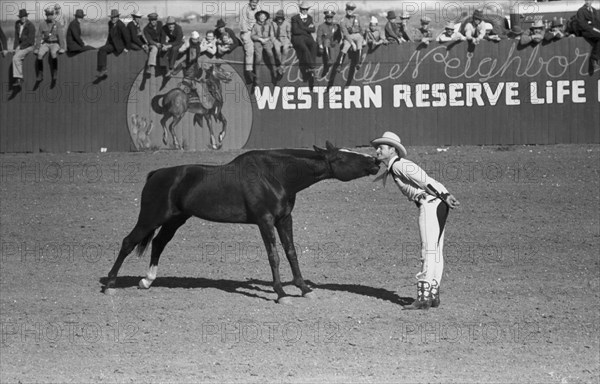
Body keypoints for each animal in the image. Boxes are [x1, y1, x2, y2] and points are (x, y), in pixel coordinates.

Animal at [104, 141, 380, 304]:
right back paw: (110, 285)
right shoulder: (265, 221)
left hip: (175, 219)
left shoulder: (284, 219)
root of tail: (155, 174)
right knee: (128, 242)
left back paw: (147, 281)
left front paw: (304, 288)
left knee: (159, 243)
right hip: (151, 218)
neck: (275, 175)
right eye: (344, 157)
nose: (376, 161)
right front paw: (281, 294)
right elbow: (274, 256)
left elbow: (291, 253)